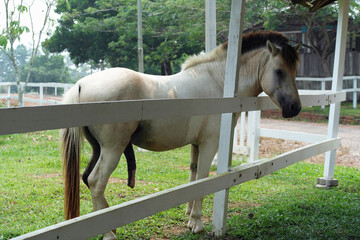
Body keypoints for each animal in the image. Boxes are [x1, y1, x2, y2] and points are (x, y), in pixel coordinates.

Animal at [61, 31, 300, 239]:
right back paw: (108, 233)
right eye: (279, 71)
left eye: (295, 71)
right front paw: (197, 223)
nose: (295, 108)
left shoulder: (196, 144)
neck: (218, 83)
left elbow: (193, 176)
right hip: (112, 149)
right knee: (96, 182)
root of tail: (81, 84)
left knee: (87, 178)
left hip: (98, 148)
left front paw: (189, 215)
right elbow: (202, 179)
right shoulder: (209, 144)